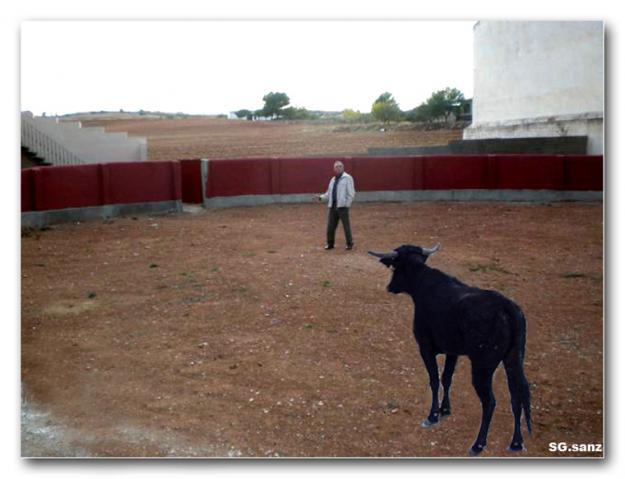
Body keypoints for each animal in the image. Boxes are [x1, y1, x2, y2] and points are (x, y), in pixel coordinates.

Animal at [369, 244, 531, 456]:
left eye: (395, 267)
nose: (390, 287)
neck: (423, 284)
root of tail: (506, 307)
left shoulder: (425, 347)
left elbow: (434, 380)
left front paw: (433, 415)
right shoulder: (452, 351)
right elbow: (447, 378)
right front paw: (445, 410)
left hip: (482, 366)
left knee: (490, 402)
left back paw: (478, 444)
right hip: (513, 359)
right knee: (517, 394)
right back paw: (516, 442)